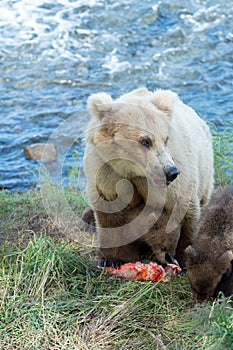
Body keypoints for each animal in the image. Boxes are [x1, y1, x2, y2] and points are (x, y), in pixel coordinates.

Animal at [83, 88, 214, 268]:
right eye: (145, 141)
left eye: (166, 139)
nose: (171, 171)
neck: (135, 173)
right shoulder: (107, 171)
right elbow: (110, 214)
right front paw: (112, 258)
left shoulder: (176, 179)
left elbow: (184, 211)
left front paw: (184, 256)